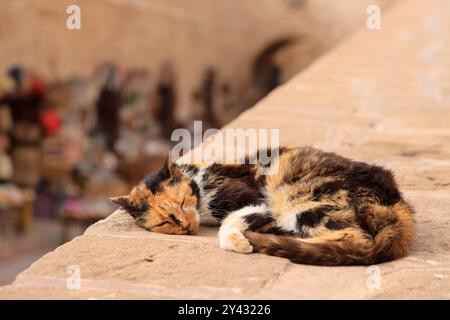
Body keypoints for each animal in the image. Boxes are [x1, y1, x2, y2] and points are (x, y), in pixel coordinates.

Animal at [111, 147, 414, 264]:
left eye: (185, 202)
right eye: (166, 221)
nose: (186, 226)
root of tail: (396, 199)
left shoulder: (255, 198)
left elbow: (230, 221)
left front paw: (238, 241)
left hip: (299, 199)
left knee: (356, 240)